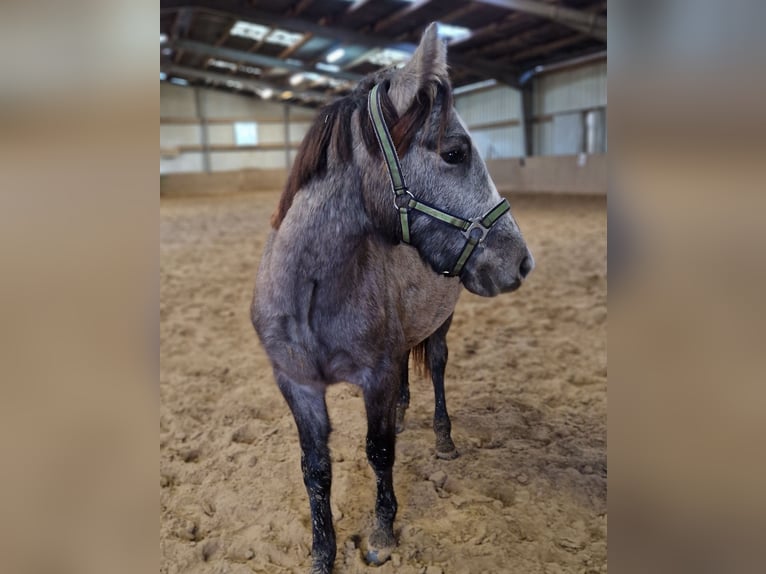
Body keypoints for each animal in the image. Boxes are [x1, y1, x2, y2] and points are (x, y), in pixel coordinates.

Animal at [252, 23, 536, 574]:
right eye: (454, 152)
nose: (520, 261)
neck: (313, 298)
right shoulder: (296, 384)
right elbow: (315, 470)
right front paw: (323, 553)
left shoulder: (376, 377)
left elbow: (379, 452)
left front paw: (382, 533)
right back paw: (406, 414)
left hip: (442, 324)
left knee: (438, 366)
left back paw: (442, 438)